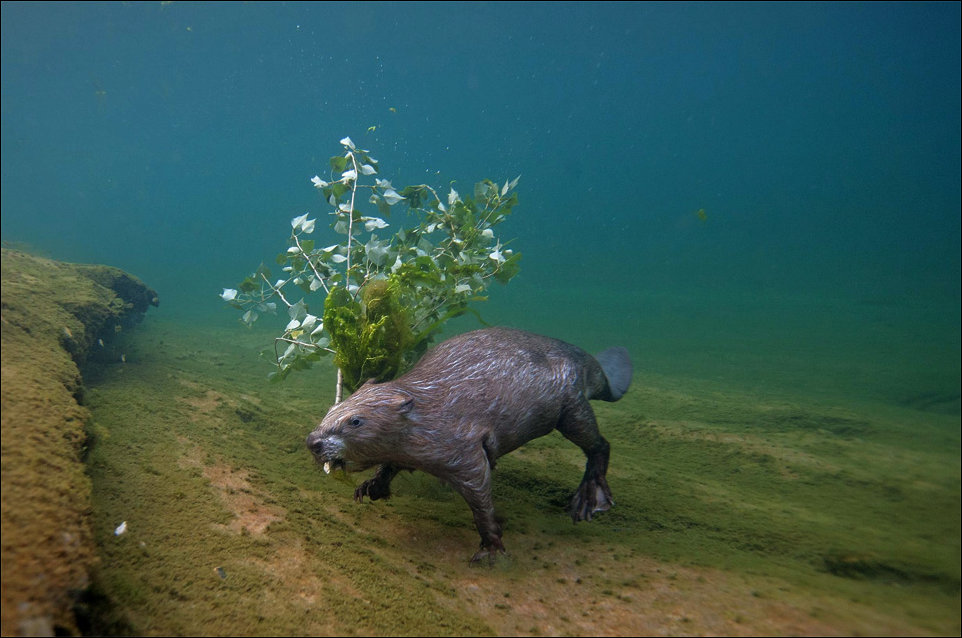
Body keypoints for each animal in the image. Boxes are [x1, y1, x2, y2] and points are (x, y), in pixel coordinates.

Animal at [304, 328, 628, 564]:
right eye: (332, 408)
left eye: (355, 421)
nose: (313, 441)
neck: (428, 406)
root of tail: (594, 365)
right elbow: (391, 464)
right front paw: (369, 488)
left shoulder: (461, 447)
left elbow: (480, 492)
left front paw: (490, 548)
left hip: (571, 407)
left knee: (599, 444)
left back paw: (589, 501)